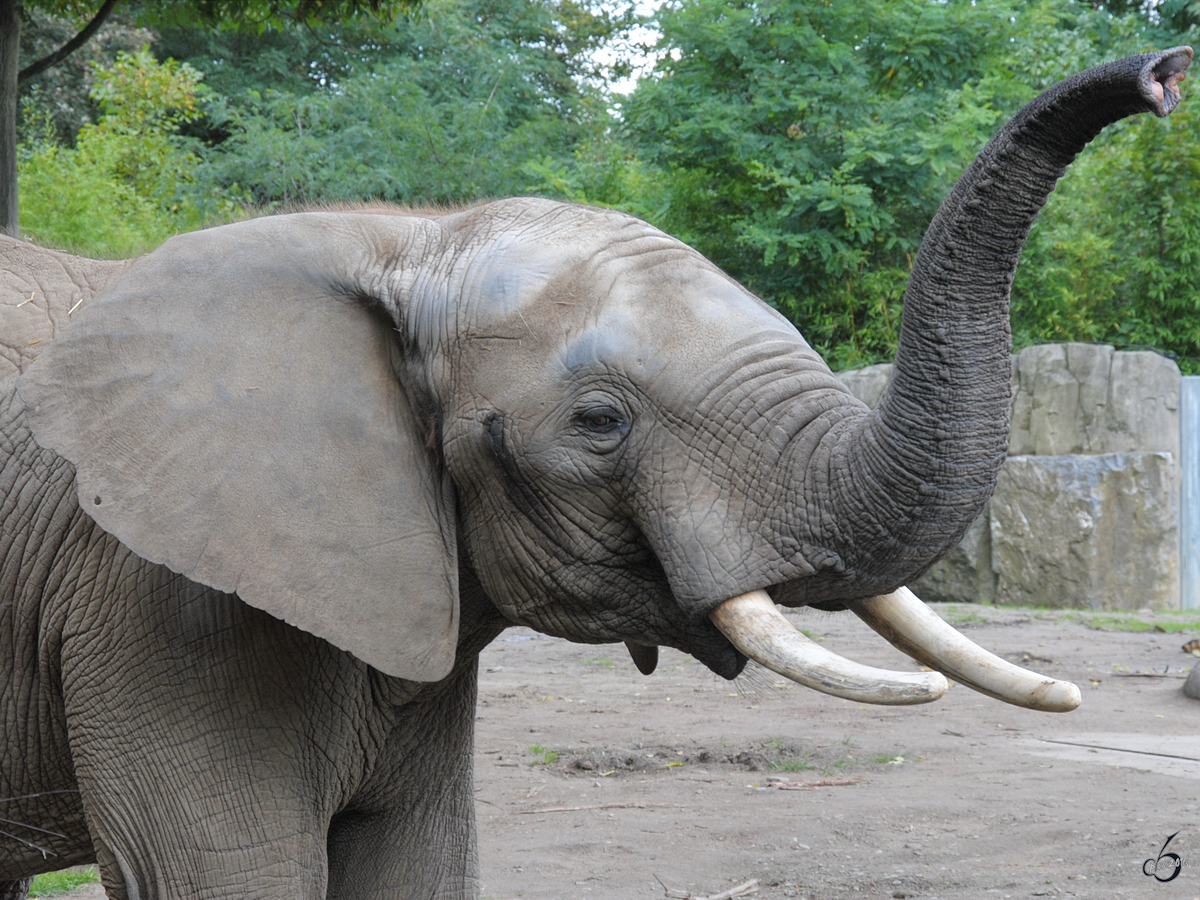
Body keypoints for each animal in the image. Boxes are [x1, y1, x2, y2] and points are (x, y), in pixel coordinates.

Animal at [0, 47, 1190, 900]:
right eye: (600, 422)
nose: (1166, 72)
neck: (404, 240)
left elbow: (419, 864)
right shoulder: (158, 603)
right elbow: (232, 874)